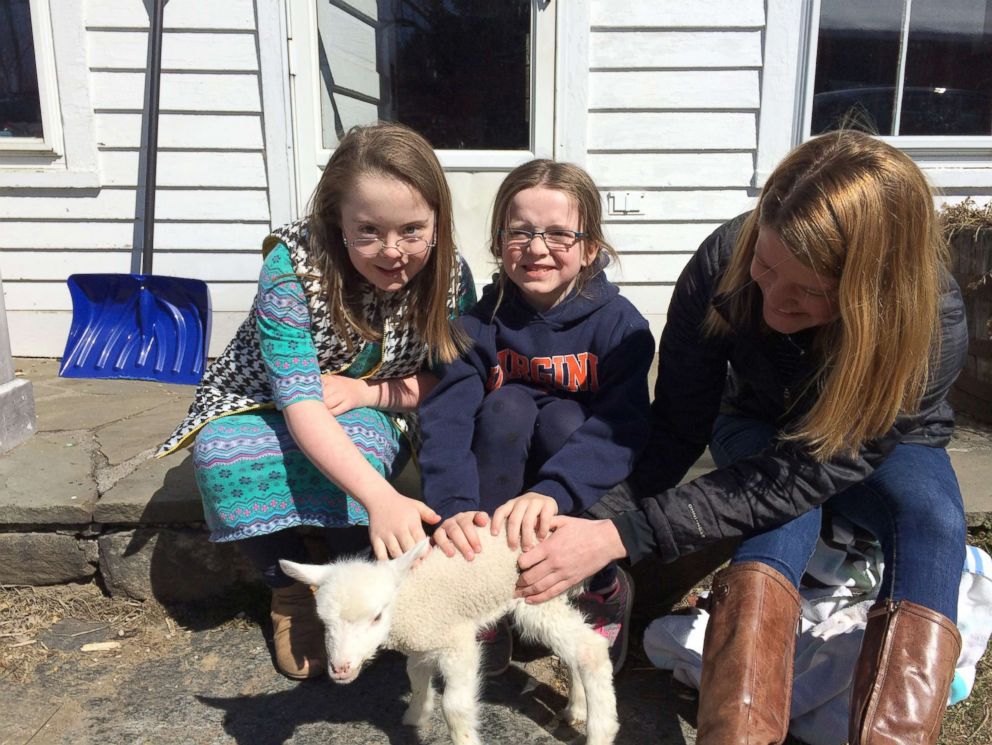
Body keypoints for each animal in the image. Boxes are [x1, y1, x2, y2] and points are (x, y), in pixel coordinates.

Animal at [280, 528, 620, 744]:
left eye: (376, 616)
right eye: (324, 622)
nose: (340, 669)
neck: (408, 600)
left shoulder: (457, 643)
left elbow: (455, 707)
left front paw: (462, 736)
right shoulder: (422, 642)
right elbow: (415, 677)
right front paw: (416, 714)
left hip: (537, 595)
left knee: (591, 648)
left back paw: (600, 731)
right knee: (574, 650)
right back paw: (576, 708)